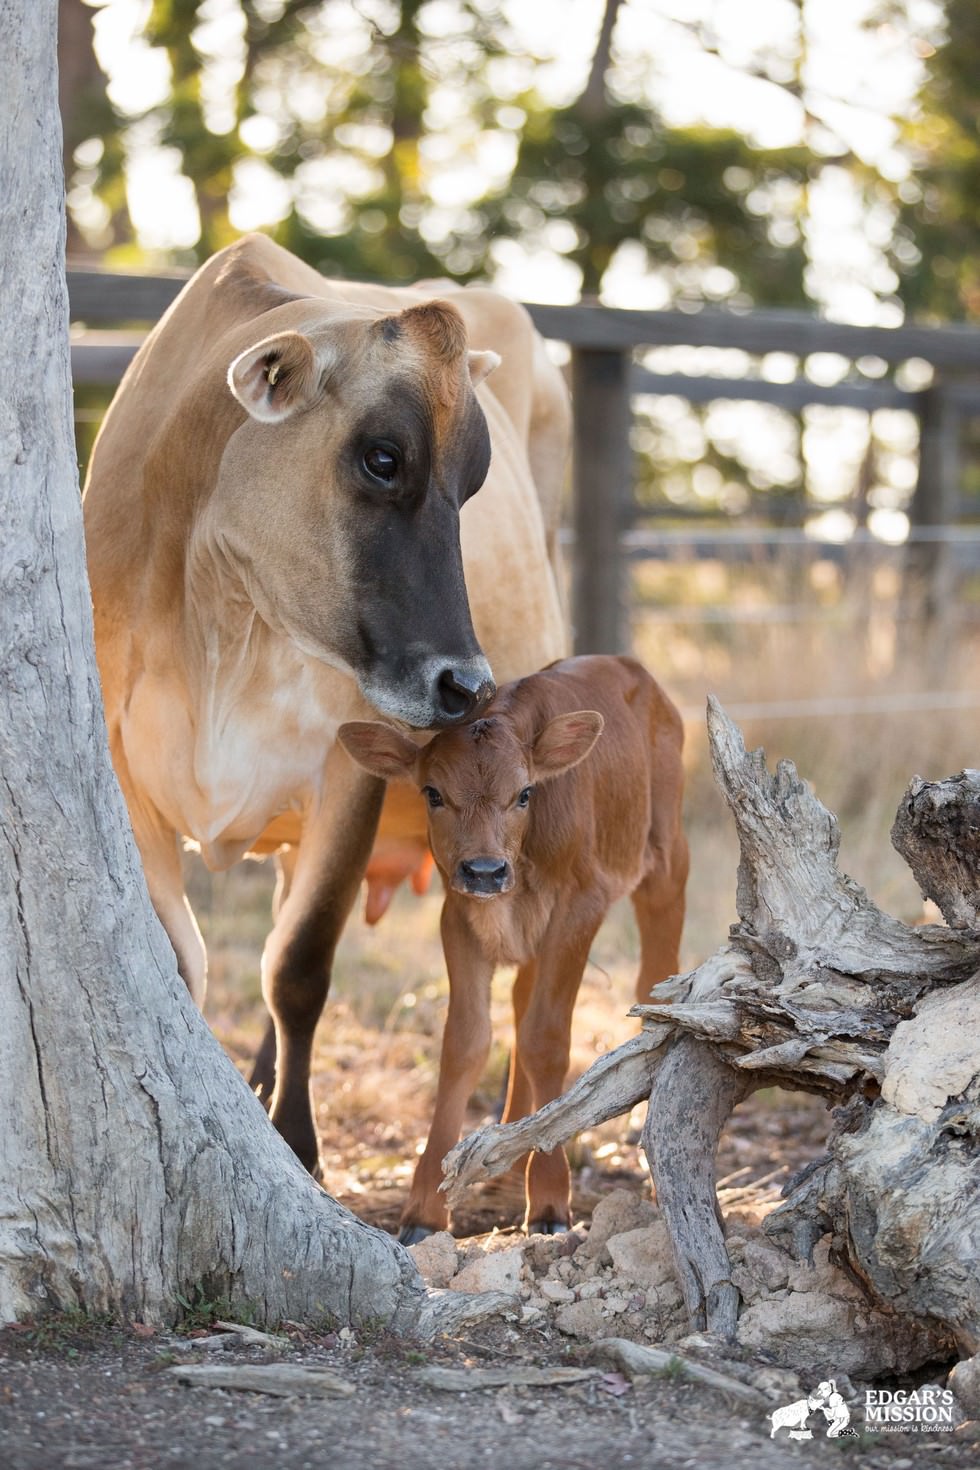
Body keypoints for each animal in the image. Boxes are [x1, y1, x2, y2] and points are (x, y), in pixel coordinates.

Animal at [83, 232, 567, 1170]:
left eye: (475, 482)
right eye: (383, 457)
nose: (467, 686)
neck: (221, 614)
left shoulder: (351, 766)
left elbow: (300, 964)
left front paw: (298, 1146)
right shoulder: (123, 774)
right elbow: (181, 961)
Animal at [340, 655, 687, 1240]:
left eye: (525, 793)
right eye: (432, 793)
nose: (484, 869)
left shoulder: (579, 906)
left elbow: (546, 1038)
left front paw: (547, 1199)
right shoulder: (458, 916)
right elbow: (465, 1042)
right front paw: (425, 1208)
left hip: (666, 862)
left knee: (654, 979)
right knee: (523, 1002)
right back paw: (510, 1154)